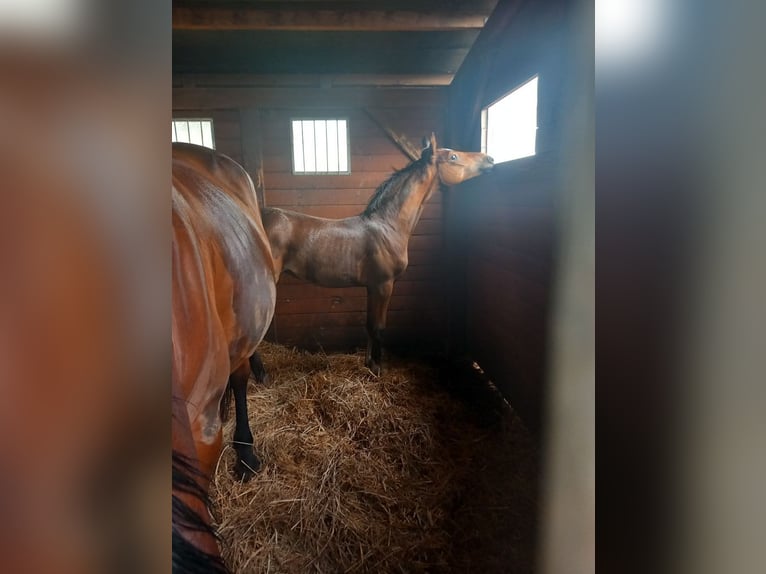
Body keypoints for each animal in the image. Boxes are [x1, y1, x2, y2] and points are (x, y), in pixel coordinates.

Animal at [261, 133, 494, 375]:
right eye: (453, 157)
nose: (490, 160)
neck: (388, 226)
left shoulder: (371, 287)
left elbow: (369, 325)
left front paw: (368, 363)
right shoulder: (384, 284)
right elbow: (379, 327)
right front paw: (378, 368)